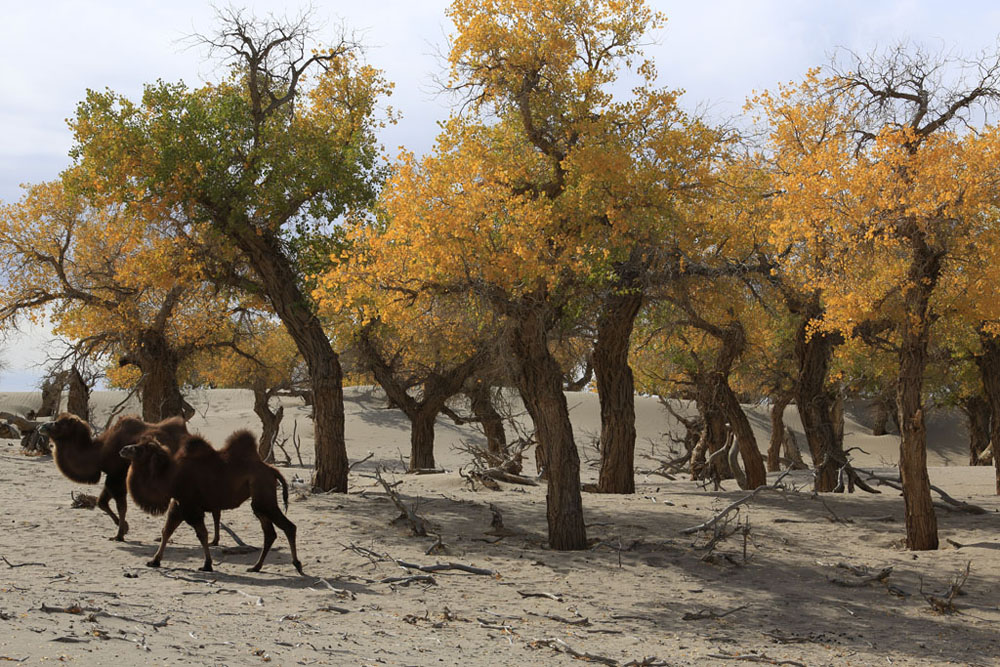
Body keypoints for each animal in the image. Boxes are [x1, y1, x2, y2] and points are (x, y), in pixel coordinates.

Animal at [40, 414, 219, 544]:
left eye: (57, 423)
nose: (41, 426)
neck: (99, 453)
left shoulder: (117, 477)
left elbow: (121, 507)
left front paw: (119, 534)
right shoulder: (113, 476)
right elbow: (101, 502)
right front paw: (124, 527)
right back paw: (214, 541)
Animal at [121, 430, 300, 576]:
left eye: (140, 449)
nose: (123, 449)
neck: (169, 477)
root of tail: (272, 470)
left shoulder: (190, 506)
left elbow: (202, 534)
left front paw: (207, 565)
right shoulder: (178, 504)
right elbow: (167, 531)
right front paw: (154, 561)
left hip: (263, 497)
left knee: (288, 527)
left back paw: (297, 565)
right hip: (261, 501)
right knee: (270, 533)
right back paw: (256, 567)